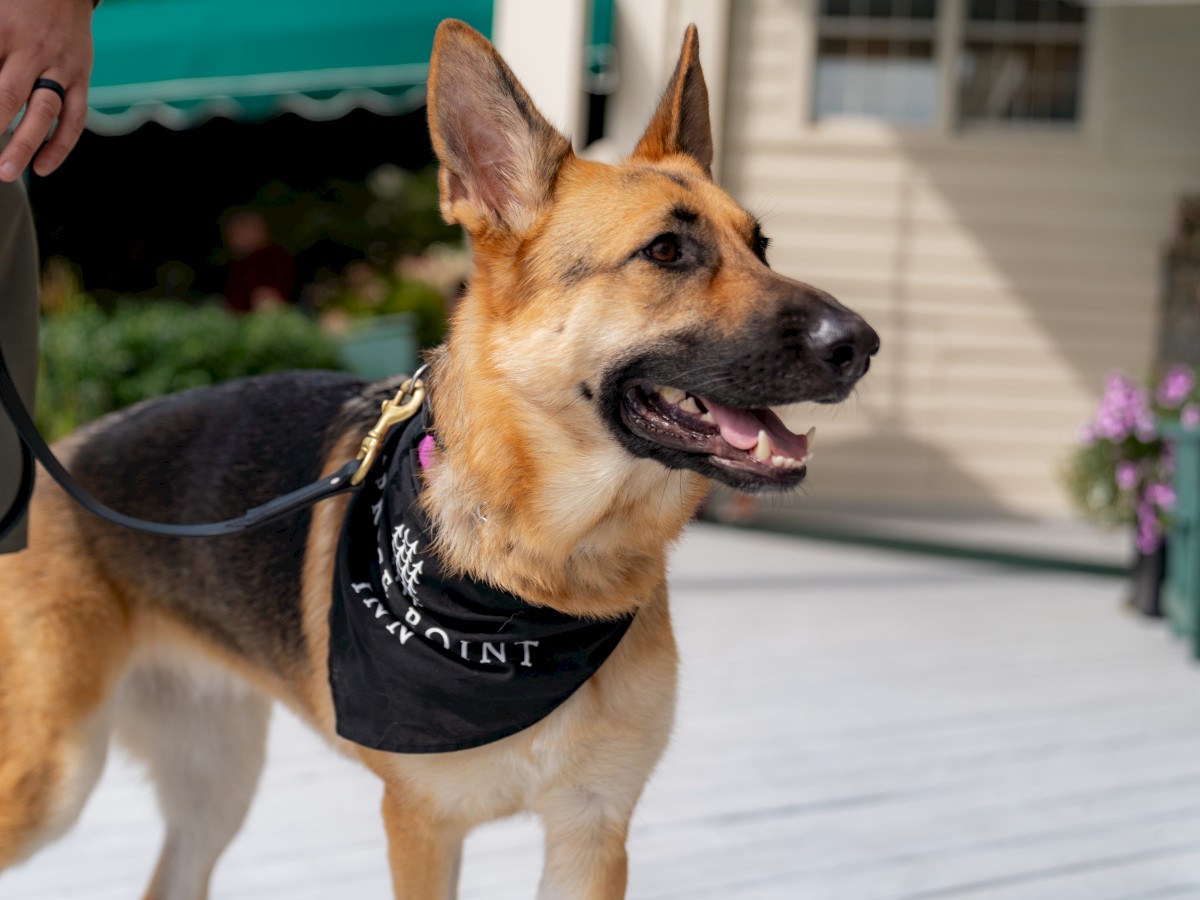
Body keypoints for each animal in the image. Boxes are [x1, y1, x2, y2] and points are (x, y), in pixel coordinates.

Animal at [2, 21, 883, 900]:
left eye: (761, 245)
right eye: (666, 251)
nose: (863, 345)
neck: (539, 573)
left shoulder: (591, 831)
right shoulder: (422, 826)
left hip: (217, 785)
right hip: (55, 777)